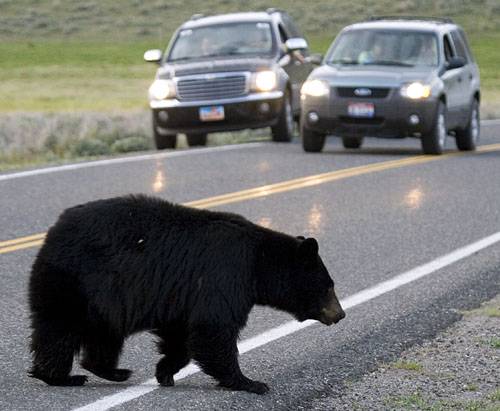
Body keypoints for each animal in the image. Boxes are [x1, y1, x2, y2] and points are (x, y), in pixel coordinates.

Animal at [28, 196, 344, 396]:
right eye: (329, 285)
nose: (340, 314)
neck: (258, 263)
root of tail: (52, 231)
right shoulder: (223, 274)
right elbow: (213, 328)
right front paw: (250, 383)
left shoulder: (183, 296)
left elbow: (180, 334)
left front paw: (164, 371)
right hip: (75, 280)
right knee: (58, 329)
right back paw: (61, 376)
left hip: (101, 298)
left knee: (103, 334)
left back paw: (113, 371)